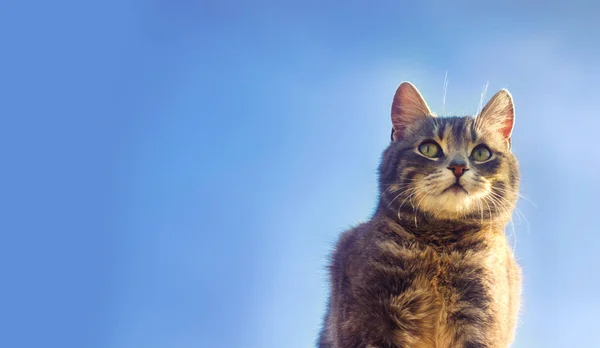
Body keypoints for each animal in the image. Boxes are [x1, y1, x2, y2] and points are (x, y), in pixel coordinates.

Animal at [318, 82, 520, 348]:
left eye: (481, 153)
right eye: (429, 148)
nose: (458, 166)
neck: (439, 245)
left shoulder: (480, 318)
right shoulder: (371, 319)